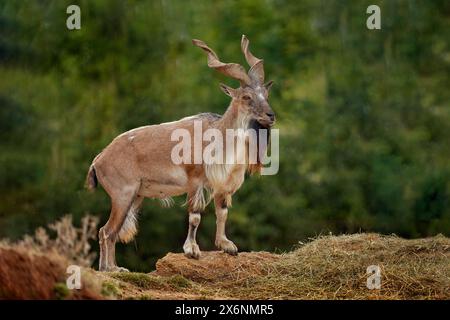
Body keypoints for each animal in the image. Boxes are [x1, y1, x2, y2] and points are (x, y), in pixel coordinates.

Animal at [85, 35, 272, 272]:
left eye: (266, 94)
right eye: (247, 97)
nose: (271, 115)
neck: (219, 138)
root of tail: (98, 160)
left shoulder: (221, 186)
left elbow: (222, 213)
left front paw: (227, 246)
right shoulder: (195, 181)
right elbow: (195, 216)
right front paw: (192, 250)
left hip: (135, 196)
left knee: (109, 232)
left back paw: (112, 268)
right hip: (122, 194)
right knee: (107, 231)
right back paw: (111, 269)